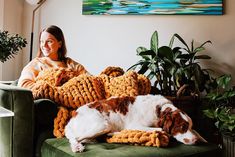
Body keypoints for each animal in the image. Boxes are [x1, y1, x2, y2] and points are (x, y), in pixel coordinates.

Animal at [64, 94, 206, 152]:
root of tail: (72, 118)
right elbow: (160, 129)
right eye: (182, 127)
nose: (196, 141)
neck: (160, 110)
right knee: (75, 138)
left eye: (190, 126)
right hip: (102, 124)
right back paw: (77, 147)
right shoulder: (135, 125)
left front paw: (201, 137)